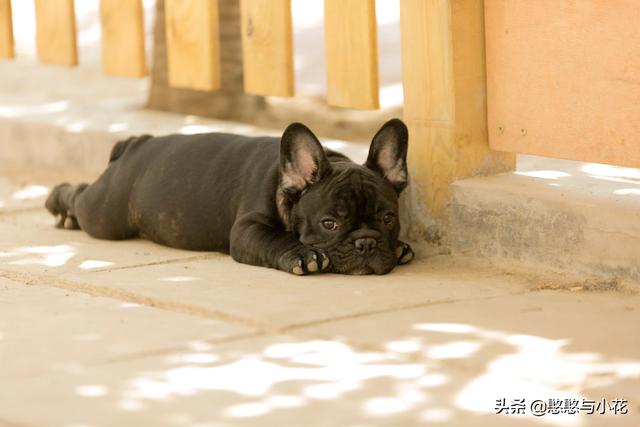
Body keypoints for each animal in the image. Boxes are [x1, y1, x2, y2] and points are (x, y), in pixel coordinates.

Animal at [45, 118, 416, 276]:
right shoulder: (247, 230)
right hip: (106, 212)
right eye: (330, 223)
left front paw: (399, 248)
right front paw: (303, 256)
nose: (366, 243)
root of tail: (138, 141)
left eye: (388, 220)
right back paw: (58, 203)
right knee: (81, 198)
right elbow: (277, 240)